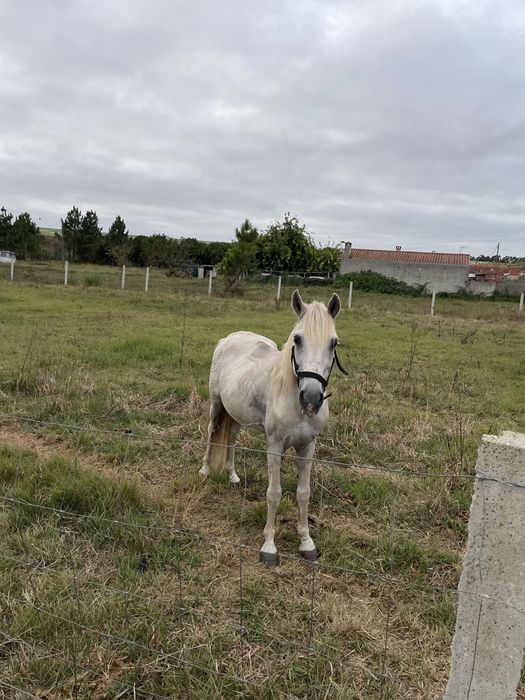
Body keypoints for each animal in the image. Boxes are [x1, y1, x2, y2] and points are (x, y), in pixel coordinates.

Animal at [200, 289, 347, 565]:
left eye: (334, 343)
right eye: (297, 339)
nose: (312, 399)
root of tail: (230, 338)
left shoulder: (308, 446)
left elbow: (303, 493)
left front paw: (306, 542)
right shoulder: (275, 446)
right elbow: (274, 493)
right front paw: (269, 547)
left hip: (236, 413)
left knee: (231, 438)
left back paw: (232, 475)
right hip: (216, 405)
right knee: (212, 432)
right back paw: (204, 470)